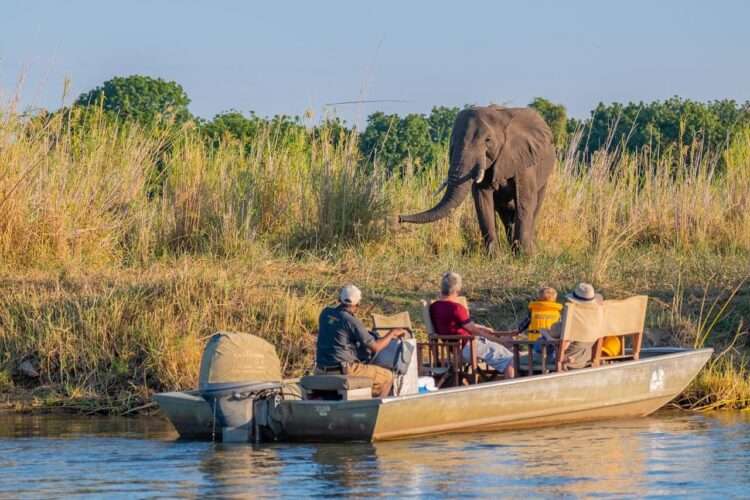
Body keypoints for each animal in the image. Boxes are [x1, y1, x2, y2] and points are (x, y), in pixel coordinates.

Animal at [400, 105, 560, 254]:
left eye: (488, 140)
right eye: (452, 142)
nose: (399, 218)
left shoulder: (523, 159)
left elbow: (524, 200)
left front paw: (524, 256)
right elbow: (482, 200)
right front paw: (494, 257)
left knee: (533, 206)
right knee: (506, 212)